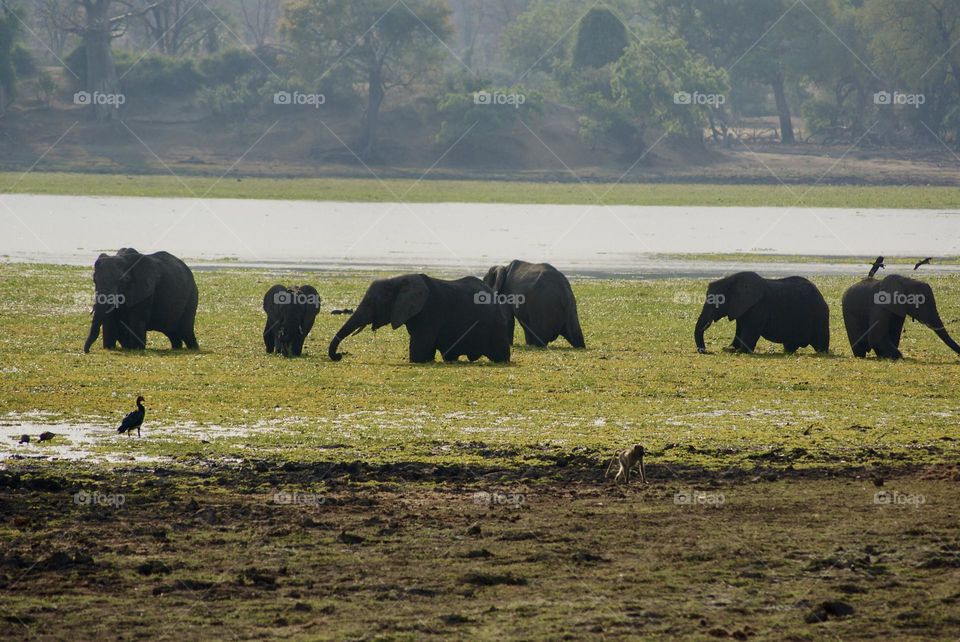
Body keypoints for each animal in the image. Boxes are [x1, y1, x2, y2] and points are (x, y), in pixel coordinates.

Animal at [328, 272, 510, 362]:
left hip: (497, 325)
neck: (399, 281)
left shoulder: (430, 311)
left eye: (373, 303)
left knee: (500, 354)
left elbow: (419, 351)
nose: (339, 356)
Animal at [692, 268, 828, 352]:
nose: (704, 351)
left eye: (717, 301)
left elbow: (750, 329)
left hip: (820, 314)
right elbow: (740, 328)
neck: (731, 280)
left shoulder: (759, 306)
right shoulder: (742, 307)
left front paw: (740, 351)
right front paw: (729, 349)